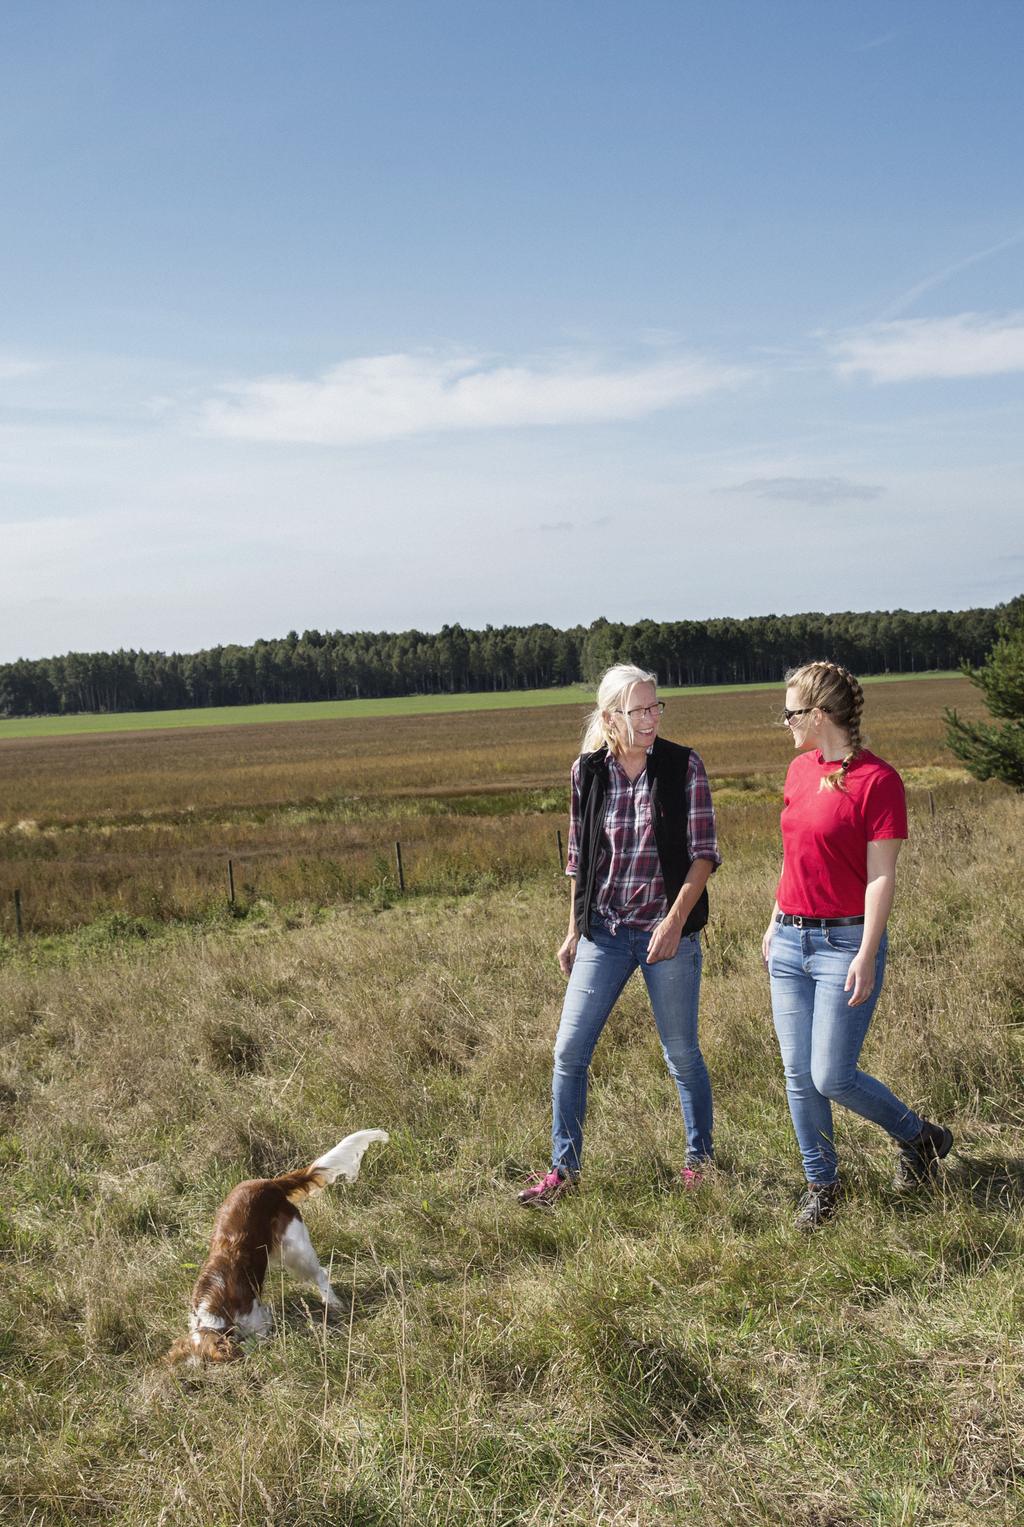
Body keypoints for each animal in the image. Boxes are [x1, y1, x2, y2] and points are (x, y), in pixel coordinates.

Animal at [167, 1129, 389, 1368]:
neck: (215, 1306)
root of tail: (270, 1183)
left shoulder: (258, 1320)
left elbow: (254, 1339)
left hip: (294, 1247)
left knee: (321, 1273)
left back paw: (334, 1303)